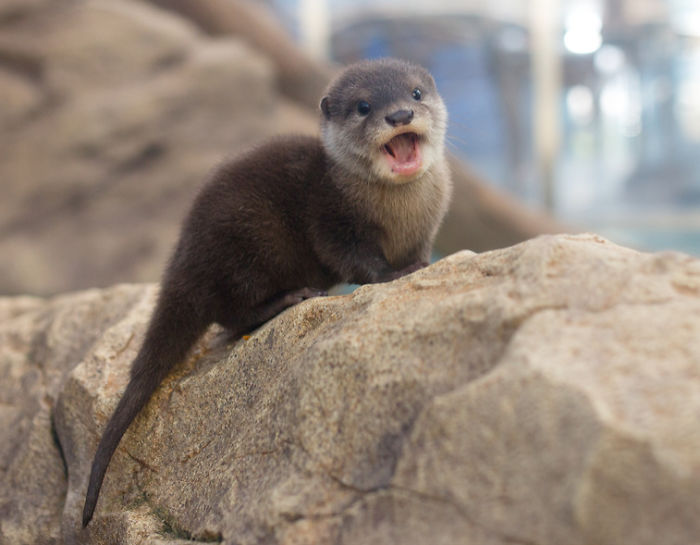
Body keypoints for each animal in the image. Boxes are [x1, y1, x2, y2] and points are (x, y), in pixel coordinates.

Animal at [82, 58, 451, 527]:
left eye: (416, 93)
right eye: (364, 106)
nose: (400, 115)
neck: (400, 214)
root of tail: (183, 257)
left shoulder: (426, 230)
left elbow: (419, 252)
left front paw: (424, 264)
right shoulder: (332, 218)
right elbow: (358, 260)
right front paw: (395, 273)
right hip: (252, 243)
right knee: (230, 313)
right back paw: (290, 298)